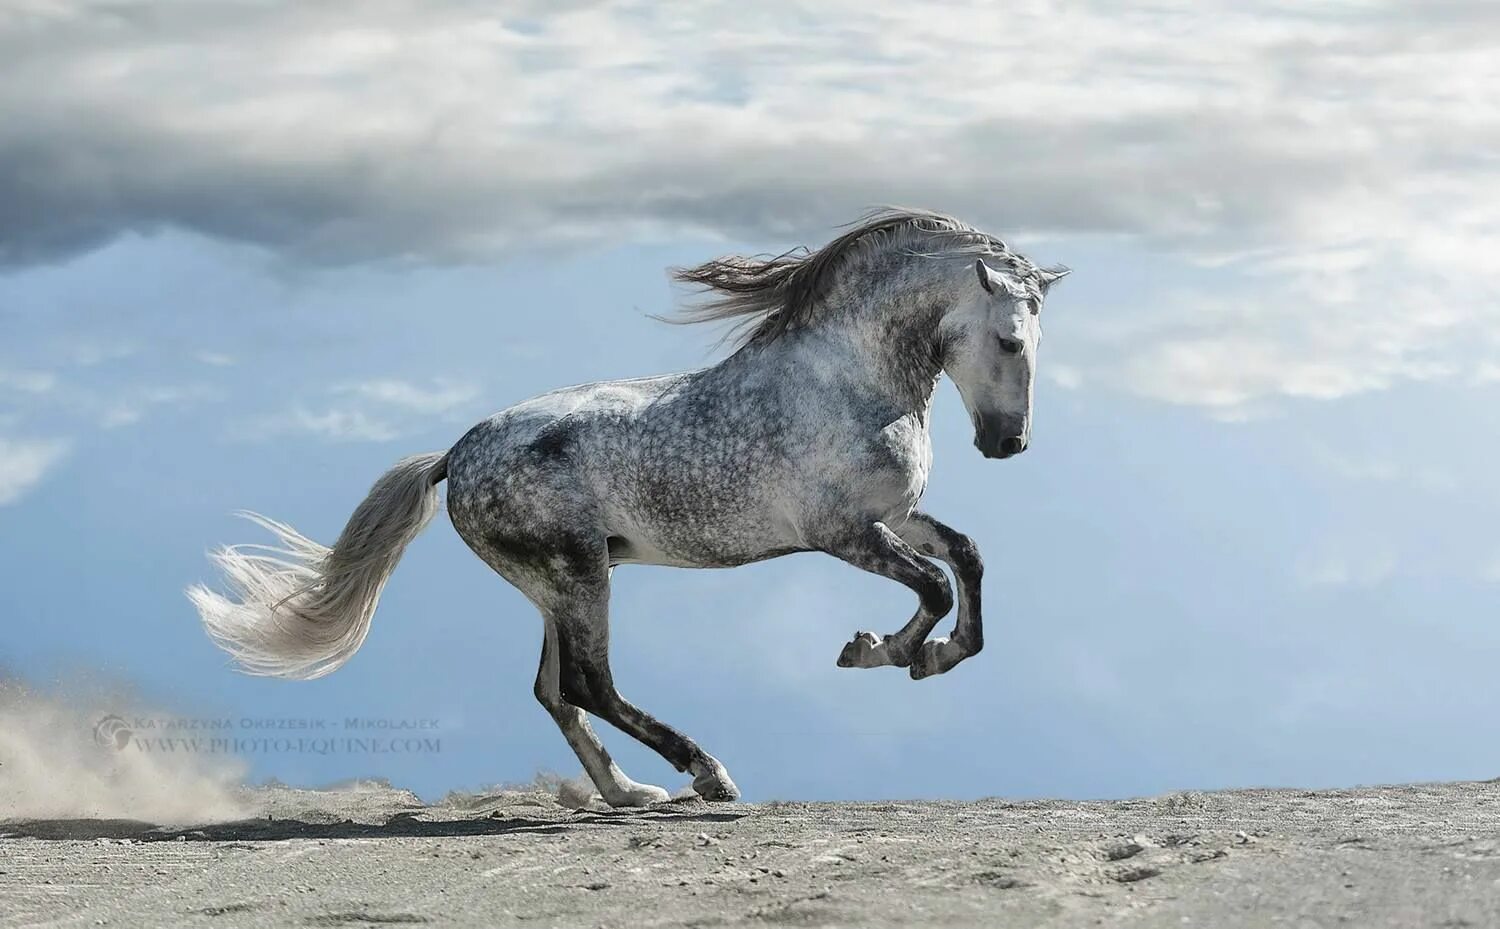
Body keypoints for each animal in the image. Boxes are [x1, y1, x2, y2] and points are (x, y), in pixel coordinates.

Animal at [187, 208, 1068, 804]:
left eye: (1037, 342)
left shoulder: (895, 515)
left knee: (555, 690)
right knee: (591, 683)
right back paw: (705, 773)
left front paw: (936, 655)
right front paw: (879, 649)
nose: (1009, 442)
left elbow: (966, 557)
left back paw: (628, 793)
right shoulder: (843, 531)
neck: (849, 383)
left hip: (555, 585)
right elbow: (934, 585)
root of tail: (455, 456)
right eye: (1010, 340)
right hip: (580, 574)